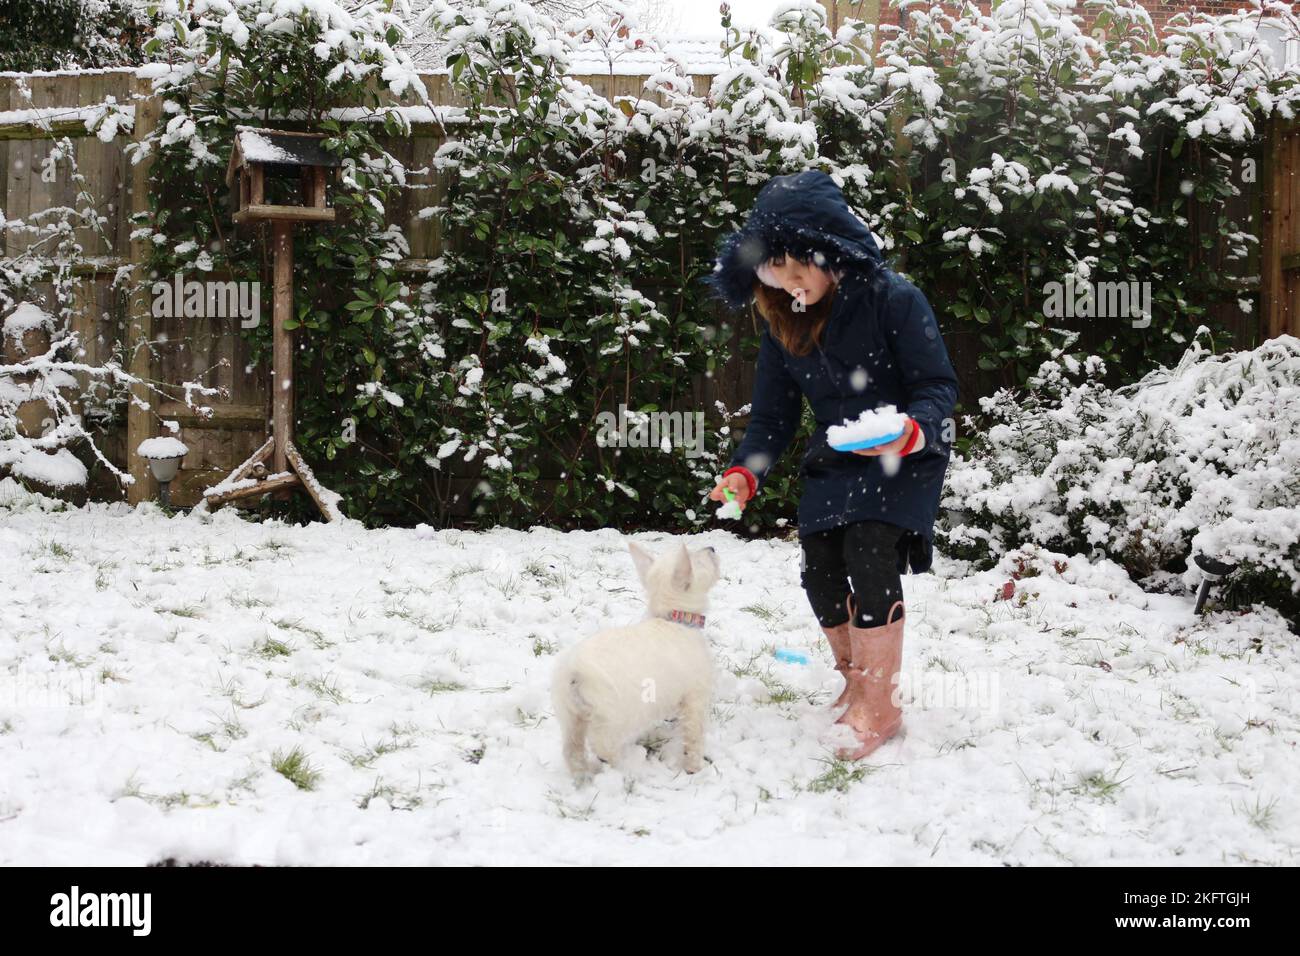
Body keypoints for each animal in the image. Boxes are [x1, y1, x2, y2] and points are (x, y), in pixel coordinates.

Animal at [551, 541, 722, 780]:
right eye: (696, 559)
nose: (712, 547)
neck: (674, 619)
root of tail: (575, 671)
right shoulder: (696, 697)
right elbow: (694, 737)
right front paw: (694, 768)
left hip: (570, 717)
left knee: (571, 751)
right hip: (612, 720)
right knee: (603, 748)